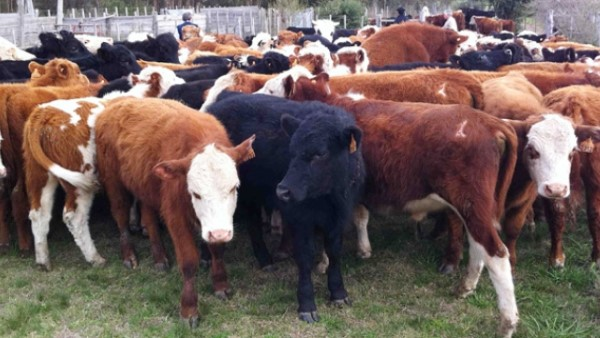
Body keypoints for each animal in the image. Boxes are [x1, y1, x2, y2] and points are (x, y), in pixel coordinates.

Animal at [95, 97, 254, 324]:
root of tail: (117, 101)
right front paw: (189, 308)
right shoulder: (176, 216)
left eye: (234, 188)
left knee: (149, 218)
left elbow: (217, 250)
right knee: (121, 215)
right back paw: (128, 254)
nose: (220, 233)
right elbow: (188, 261)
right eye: (196, 193)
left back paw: (159, 257)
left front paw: (220, 284)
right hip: (113, 181)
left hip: (145, 185)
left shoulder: (216, 225)